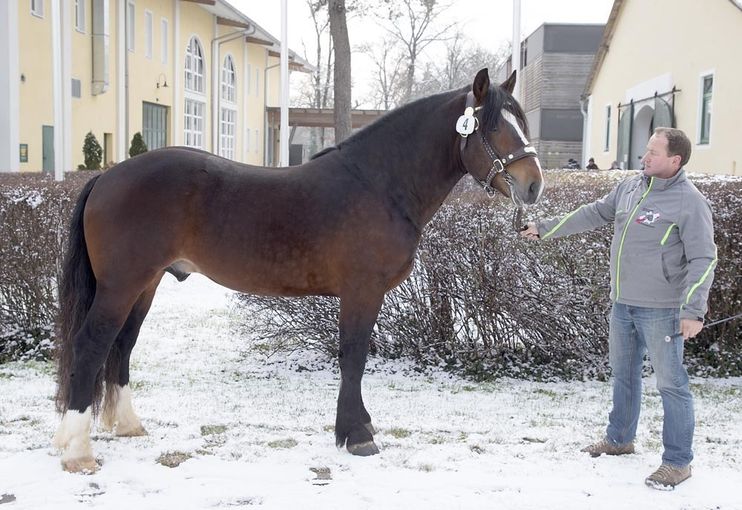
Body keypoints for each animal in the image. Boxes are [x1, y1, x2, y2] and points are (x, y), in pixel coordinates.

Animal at [50, 67, 540, 474]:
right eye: (493, 126)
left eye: (521, 121)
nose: (533, 185)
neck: (380, 185)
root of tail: (107, 176)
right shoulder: (362, 291)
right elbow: (353, 357)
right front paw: (356, 436)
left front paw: (359, 427)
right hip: (121, 285)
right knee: (92, 345)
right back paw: (77, 452)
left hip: (145, 284)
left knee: (122, 345)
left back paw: (126, 425)